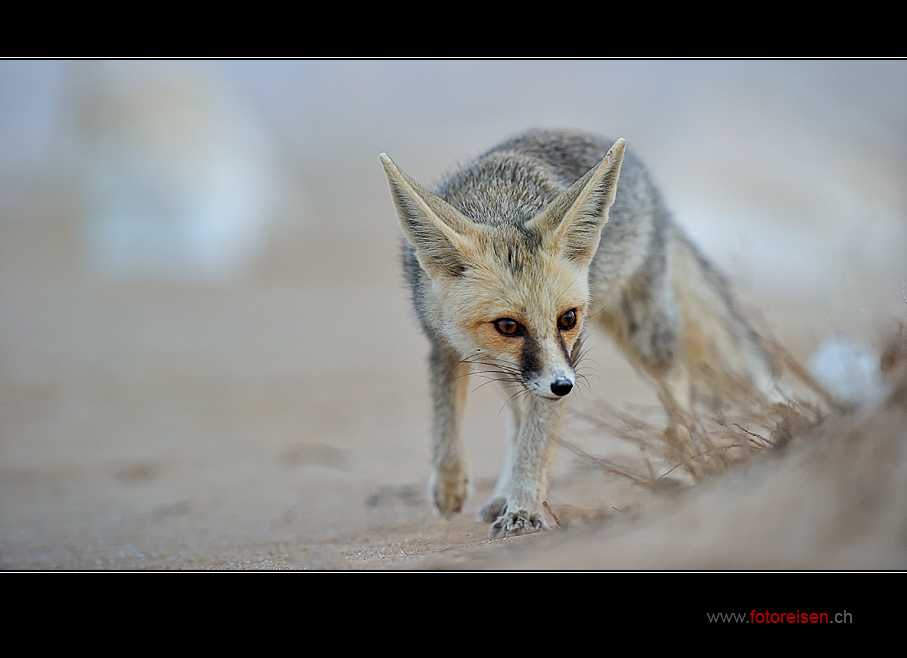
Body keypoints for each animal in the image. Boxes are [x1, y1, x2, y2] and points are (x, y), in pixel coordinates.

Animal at [380, 129, 776, 540]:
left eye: (568, 319)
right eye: (508, 326)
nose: (563, 387)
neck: (498, 199)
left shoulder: (566, 357)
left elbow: (535, 441)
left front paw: (522, 509)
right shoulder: (442, 344)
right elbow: (447, 428)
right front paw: (451, 486)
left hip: (643, 332)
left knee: (679, 378)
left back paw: (684, 468)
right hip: (512, 369)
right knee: (517, 417)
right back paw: (500, 493)